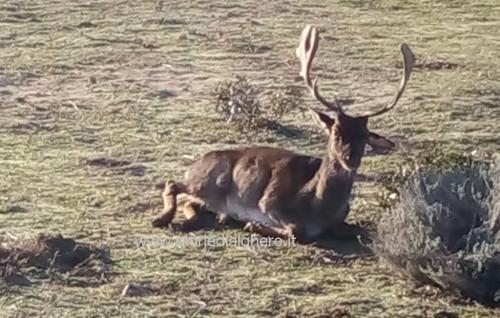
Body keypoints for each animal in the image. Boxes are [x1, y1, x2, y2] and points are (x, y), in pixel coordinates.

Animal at [151, 25, 414, 241]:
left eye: (365, 136)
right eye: (336, 131)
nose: (351, 158)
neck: (316, 206)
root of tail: (193, 164)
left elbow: (357, 230)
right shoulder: (269, 202)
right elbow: (296, 231)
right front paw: (254, 225)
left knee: (189, 201)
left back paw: (205, 219)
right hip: (209, 182)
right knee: (173, 184)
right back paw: (163, 219)